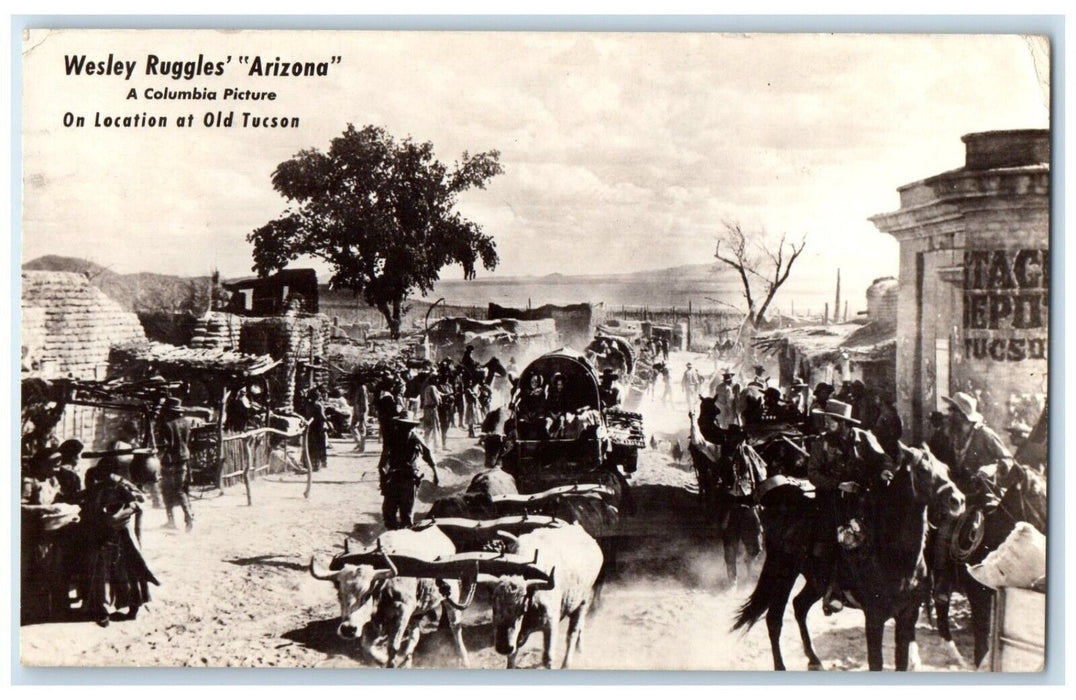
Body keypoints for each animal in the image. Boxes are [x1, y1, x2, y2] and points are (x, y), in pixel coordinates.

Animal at [731, 443, 968, 675]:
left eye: (947, 470)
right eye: (924, 470)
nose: (958, 500)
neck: (896, 559)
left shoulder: (908, 616)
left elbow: (901, 661)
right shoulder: (874, 618)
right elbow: (876, 663)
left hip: (816, 580)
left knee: (799, 605)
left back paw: (814, 660)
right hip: (782, 571)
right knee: (774, 619)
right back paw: (781, 666)